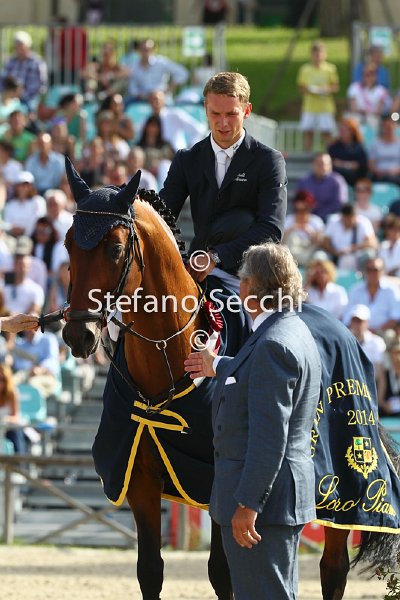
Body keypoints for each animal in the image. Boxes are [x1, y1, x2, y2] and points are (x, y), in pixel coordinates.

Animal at [58, 158, 400, 600]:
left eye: (115, 249)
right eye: (68, 245)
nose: (78, 335)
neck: (166, 358)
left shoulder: (221, 481)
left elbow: (223, 572)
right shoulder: (141, 483)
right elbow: (150, 571)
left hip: (341, 487)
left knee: (333, 567)